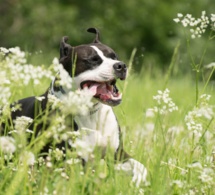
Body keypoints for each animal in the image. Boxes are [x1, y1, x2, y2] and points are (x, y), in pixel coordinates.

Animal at [7, 27, 146, 186]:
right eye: (92, 60)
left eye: (114, 56)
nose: (120, 65)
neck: (90, 113)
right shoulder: (72, 161)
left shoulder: (117, 154)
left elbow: (139, 166)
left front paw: (139, 179)